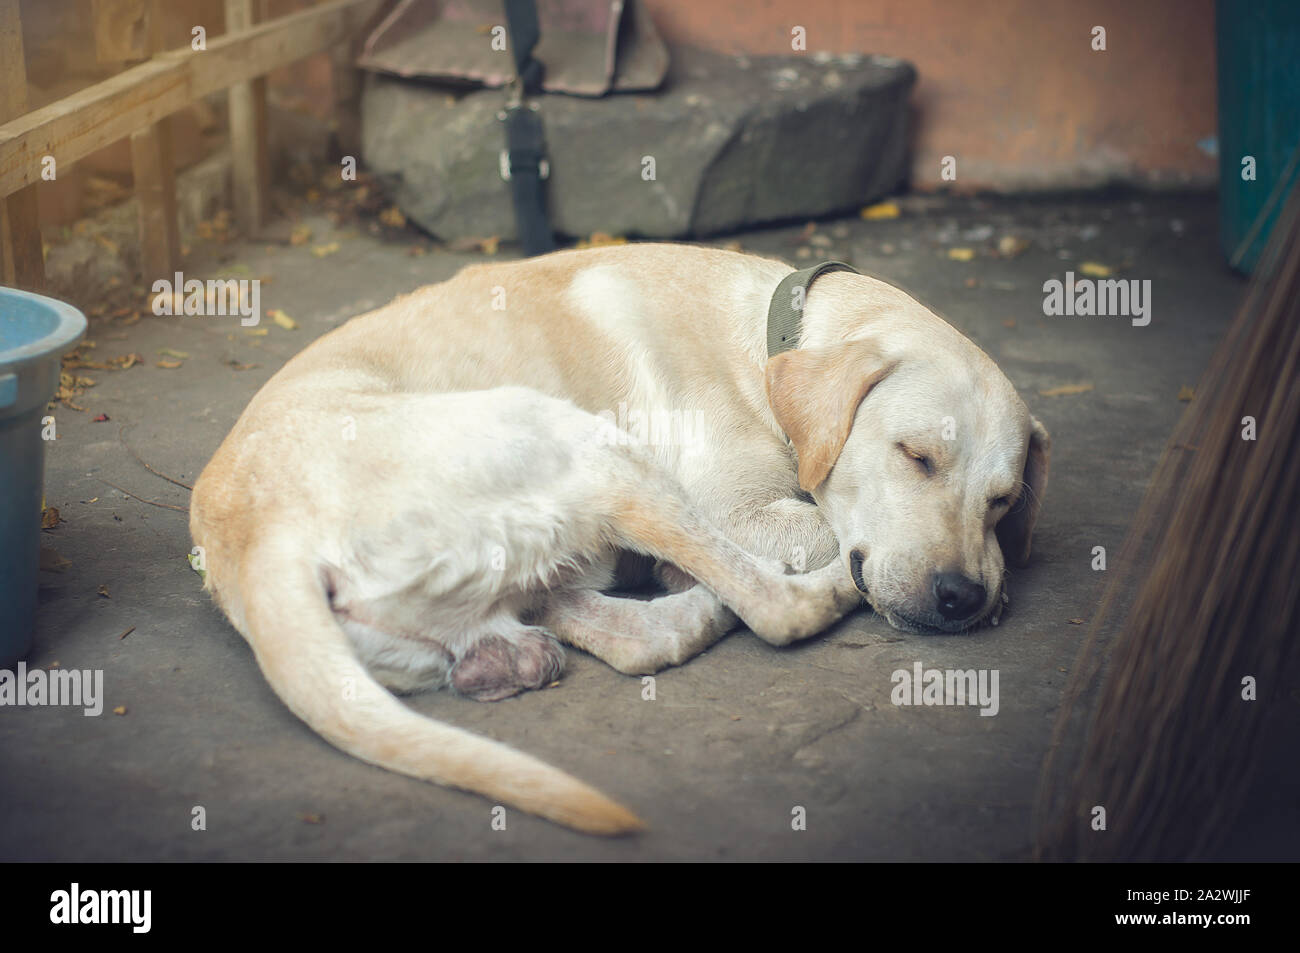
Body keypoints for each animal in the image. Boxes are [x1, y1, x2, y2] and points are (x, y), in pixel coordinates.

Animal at [189, 243, 1045, 832]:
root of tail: (257, 536)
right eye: (915, 455)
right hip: (589, 445)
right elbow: (818, 532)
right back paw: (773, 592)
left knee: (626, 634)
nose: (960, 595)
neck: (770, 338)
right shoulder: (738, 509)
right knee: (775, 607)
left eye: (1003, 499)